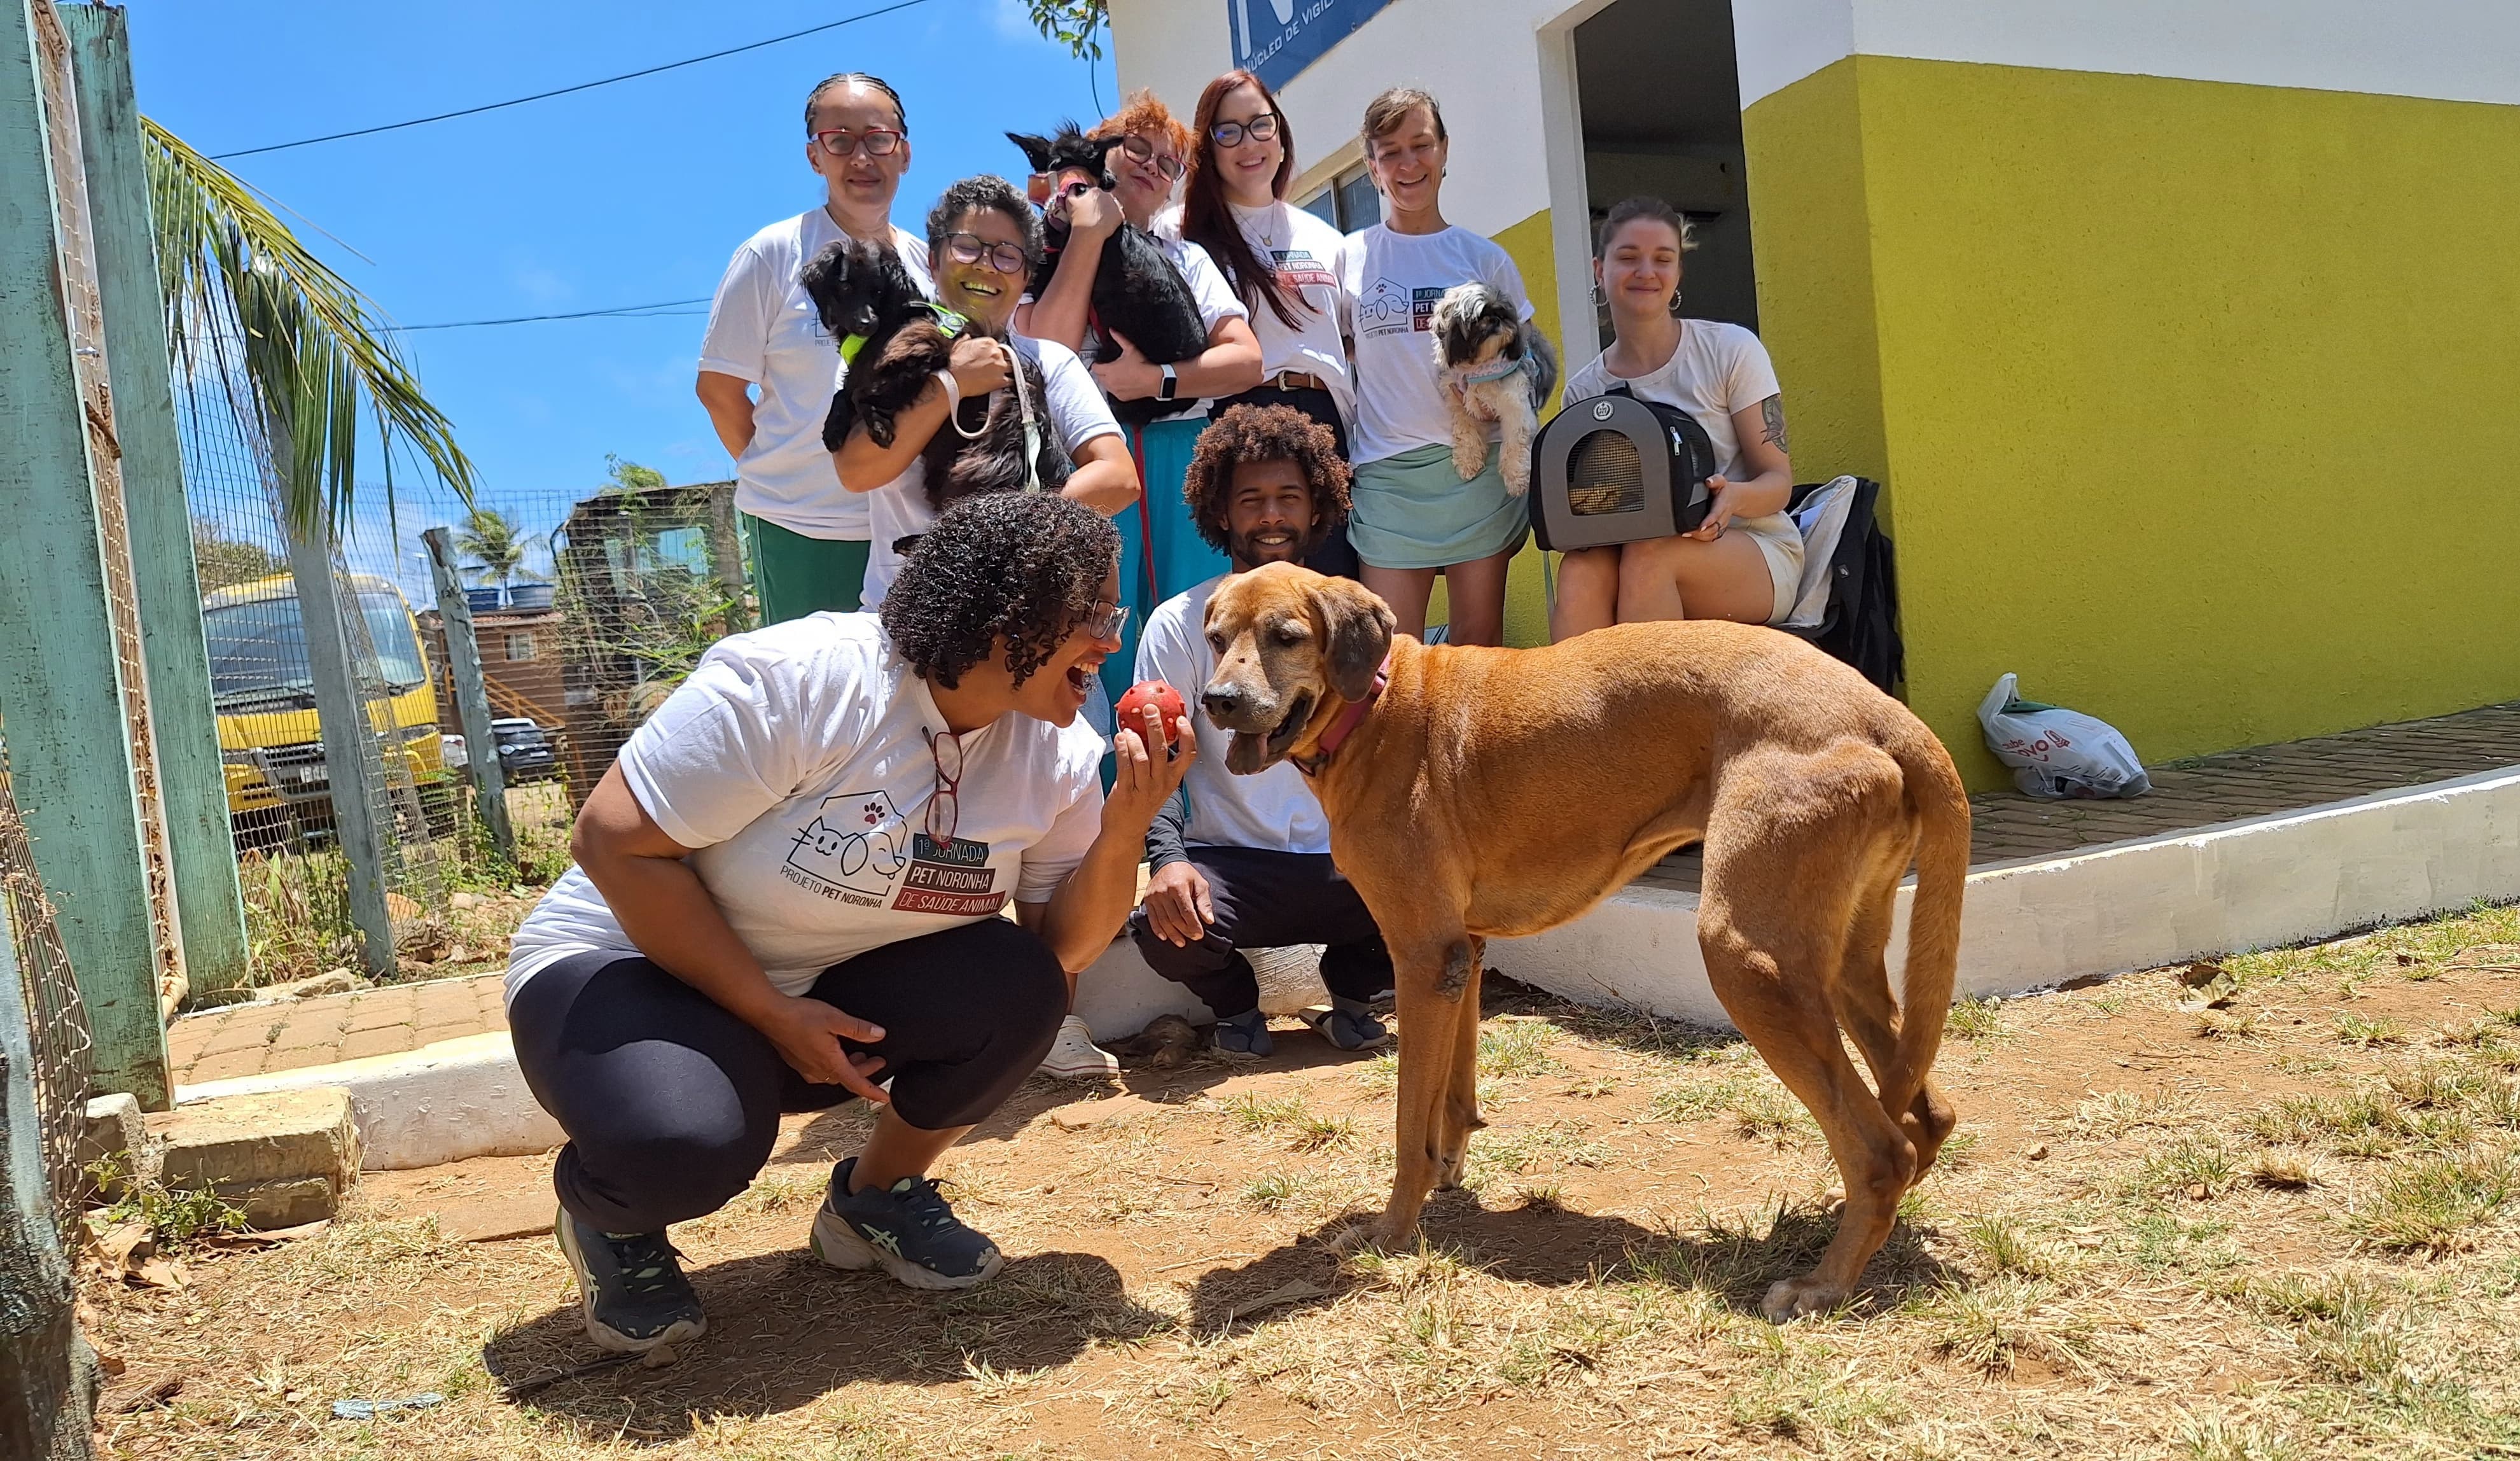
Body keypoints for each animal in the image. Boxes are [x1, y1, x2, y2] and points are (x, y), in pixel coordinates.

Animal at [806, 239, 1073, 514]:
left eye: (878, 291)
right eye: (845, 286)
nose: (867, 323)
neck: (894, 317)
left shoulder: (923, 352)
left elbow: (861, 394)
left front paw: (878, 424)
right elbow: (845, 392)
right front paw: (833, 428)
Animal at [1199, 564, 1965, 1320]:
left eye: (1287, 636)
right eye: (1214, 638)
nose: (1217, 701)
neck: (1375, 707)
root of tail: (1888, 714)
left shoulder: (1421, 955)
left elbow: (1407, 1123)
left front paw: (1389, 1231)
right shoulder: (1463, 954)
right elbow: (1453, 1095)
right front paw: (1449, 1172)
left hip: (1749, 960)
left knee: (1883, 1150)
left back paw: (1821, 1284)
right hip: (1841, 965)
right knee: (1927, 1116)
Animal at [1441, 279, 1552, 496]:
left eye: (1502, 313)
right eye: (1478, 318)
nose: (1494, 320)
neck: (1480, 367)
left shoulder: (1515, 407)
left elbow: (1515, 444)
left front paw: (1517, 478)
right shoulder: (1461, 402)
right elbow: (1466, 432)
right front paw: (1468, 461)